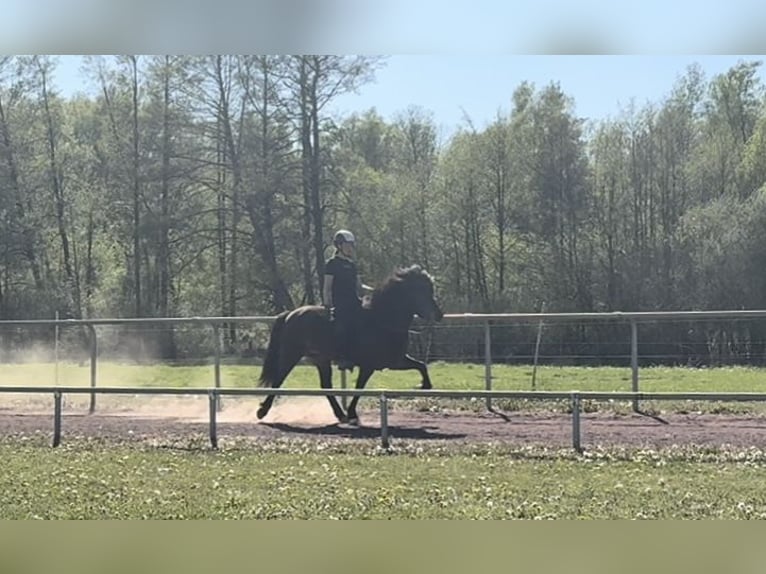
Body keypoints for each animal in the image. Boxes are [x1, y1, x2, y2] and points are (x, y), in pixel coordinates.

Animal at [256, 264, 444, 424]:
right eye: (421, 291)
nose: (439, 315)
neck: (382, 319)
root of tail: (291, 314)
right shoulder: (369, 366)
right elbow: (359, 389)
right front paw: (353, 413)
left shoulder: (395, 361)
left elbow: (421, 366)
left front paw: (425, 385)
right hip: (291, 354)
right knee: (278, 380)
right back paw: (262, 411)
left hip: (321, 359)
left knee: (326, 386)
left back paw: (340, 415)